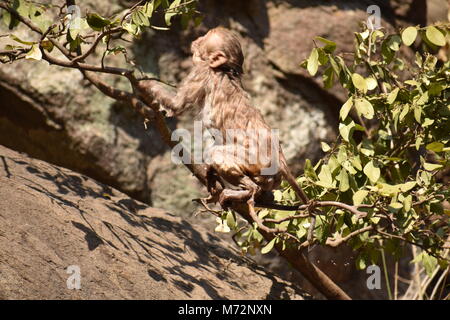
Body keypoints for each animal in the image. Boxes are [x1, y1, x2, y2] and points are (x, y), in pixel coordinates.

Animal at [137, 27, 312, 219]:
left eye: (204, 39)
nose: (196, 40)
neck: (225, 70)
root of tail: (281, 160)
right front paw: (209, 172)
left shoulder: (202, 71)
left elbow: (177, 104)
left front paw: (143, 85)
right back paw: (261, 196)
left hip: (256, 161)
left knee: (218, 154)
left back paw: (247, 191)